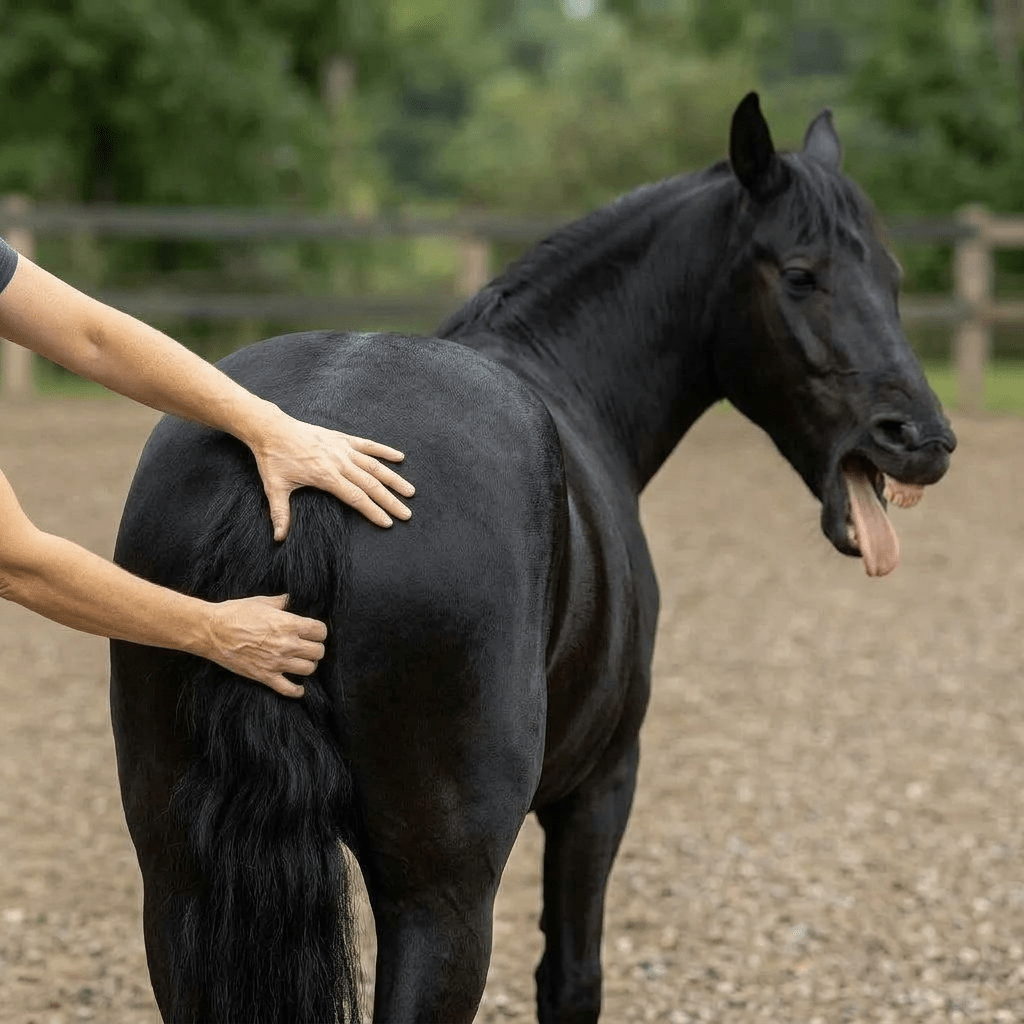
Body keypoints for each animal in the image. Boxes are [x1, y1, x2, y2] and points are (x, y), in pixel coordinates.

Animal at [109, 93, 955, 1023]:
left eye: (892, 277)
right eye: (801, 275)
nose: (922, 439)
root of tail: (303, 456)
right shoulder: (598, 791)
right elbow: (571, 977)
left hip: (178, 882)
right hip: (441, 901)